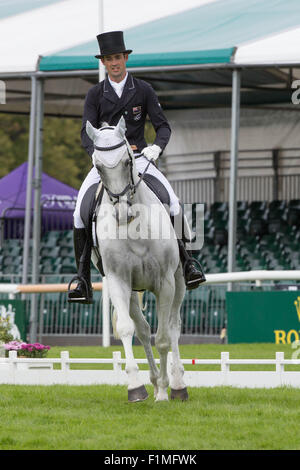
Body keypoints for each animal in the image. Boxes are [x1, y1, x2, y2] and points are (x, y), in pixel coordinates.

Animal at [85, 116, 188, 400]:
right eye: (98, 166)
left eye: (128, 161)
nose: (122, 214)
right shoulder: (119, 281)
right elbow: (127, 329)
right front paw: (136, 387)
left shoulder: (165, 282)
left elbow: (163, 337)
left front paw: (164, 389)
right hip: (132, 289)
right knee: (142, 329)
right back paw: (154, 381)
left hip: (179, 281)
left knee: (173, 326)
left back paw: (177, 385)